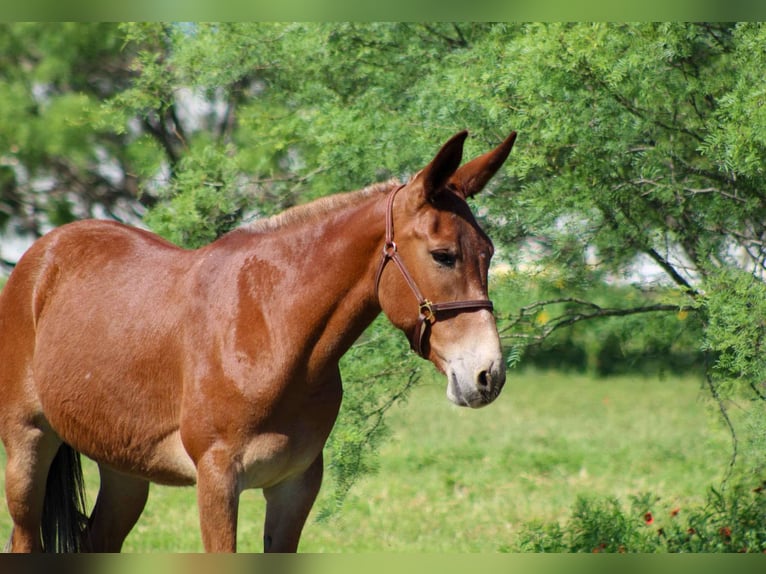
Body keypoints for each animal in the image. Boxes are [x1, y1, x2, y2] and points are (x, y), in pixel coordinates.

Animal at [0, 129, 516, 552]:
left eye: (488, 252)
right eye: (443, 255)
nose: (487, 375)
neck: (270, 333)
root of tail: (39, 258)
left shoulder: (294, 487)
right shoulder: (217, 483)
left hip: (124, 470)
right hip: (28, 447)